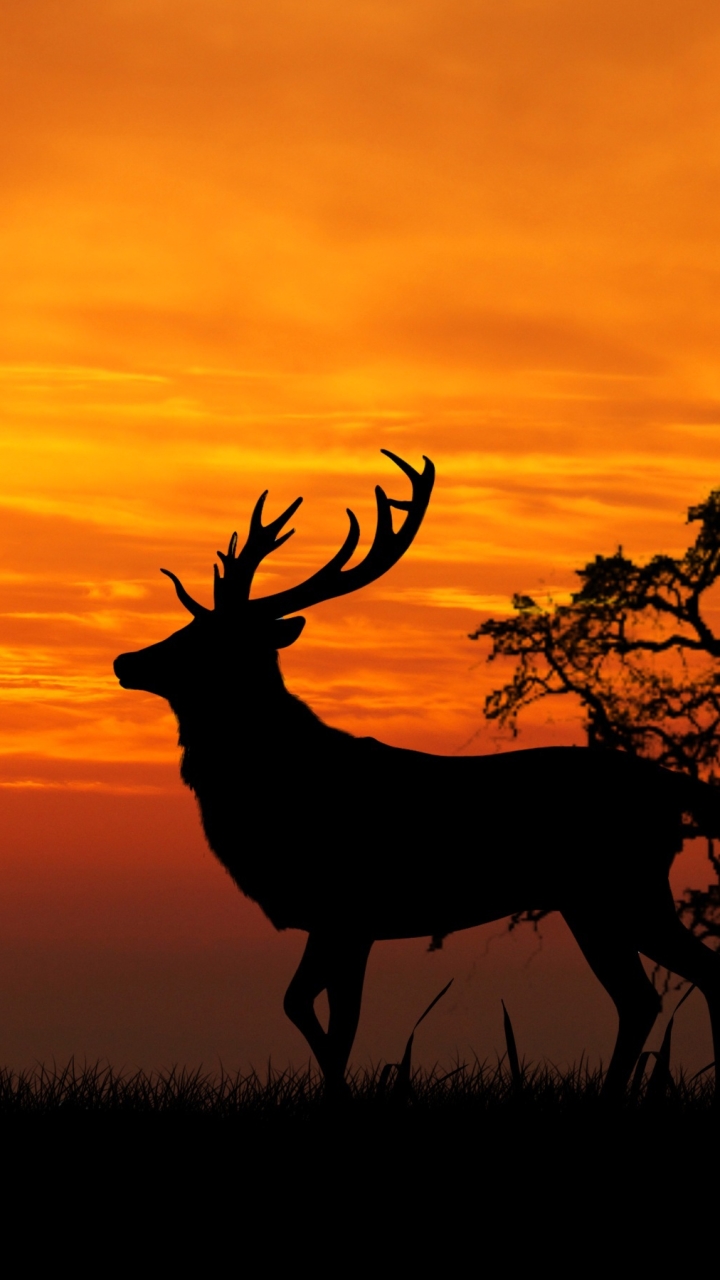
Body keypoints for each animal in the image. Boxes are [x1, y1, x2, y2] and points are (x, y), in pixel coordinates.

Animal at [114, 450, 720, 1100]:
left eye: (207, 637)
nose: (126, 660)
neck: (276, 786)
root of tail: (671, 787)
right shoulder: (338, 922)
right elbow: (312, 1011)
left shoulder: (348, 909)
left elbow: (325, 1018)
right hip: (594, 900)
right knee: (646, 996)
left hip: (623, 886)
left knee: (681, 980)